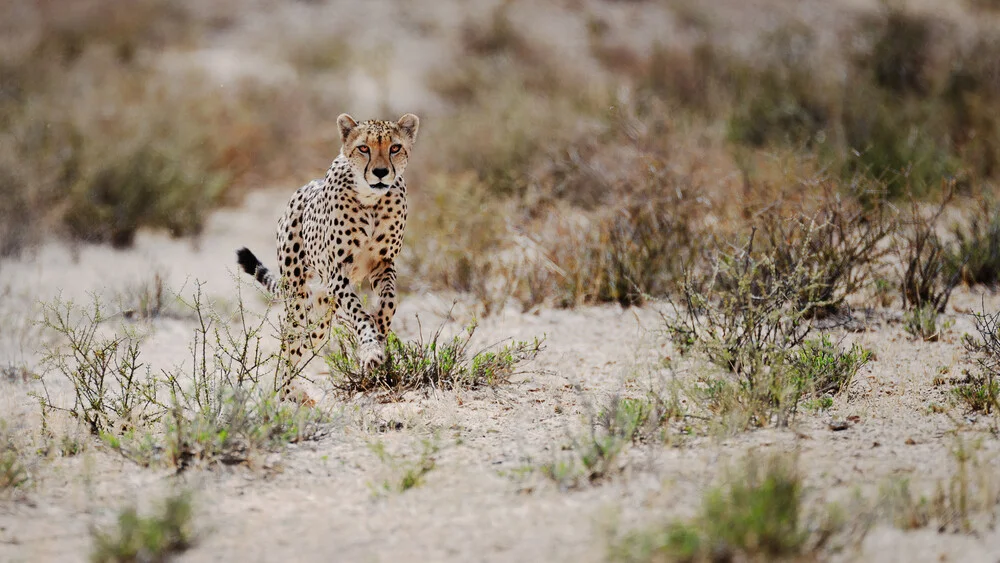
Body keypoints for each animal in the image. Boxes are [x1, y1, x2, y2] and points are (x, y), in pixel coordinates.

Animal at [237, 114, 418, 388]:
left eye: (395, 148)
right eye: (363, 148)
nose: (380, 172)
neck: (370, 200)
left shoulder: (383, 264)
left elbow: (389, 301)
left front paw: (381, 328)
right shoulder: (338, 274)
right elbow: (359, 314)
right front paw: (371, 350)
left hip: (321, 313)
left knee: (305, 344)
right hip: (299, 300)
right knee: (288, 349)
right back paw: (284, 393)